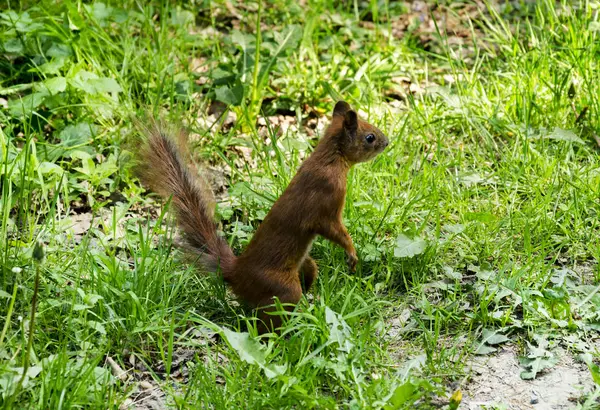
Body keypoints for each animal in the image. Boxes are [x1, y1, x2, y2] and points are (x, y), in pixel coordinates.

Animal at [135, 101, 390, 334]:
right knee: (267, 320)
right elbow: (335, 230)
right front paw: (352, 253)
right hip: (283, 288)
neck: (330, 159)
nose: (387, 142)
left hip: (304, 266)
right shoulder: (326, 203)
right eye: (369, 137)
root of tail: (235, 273)